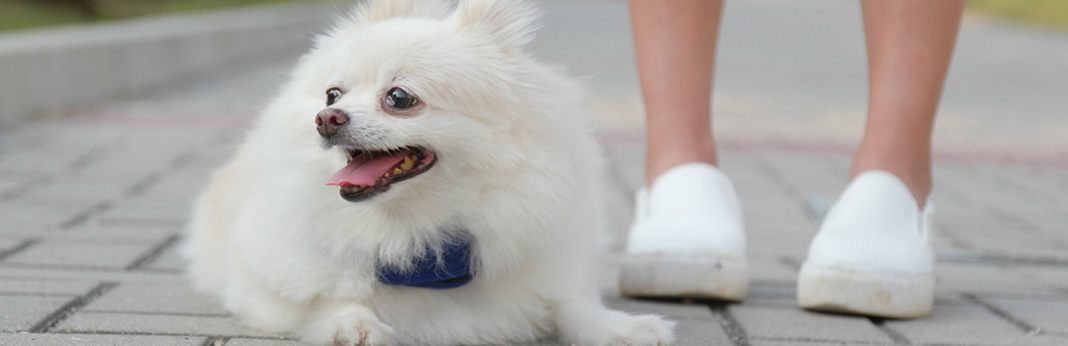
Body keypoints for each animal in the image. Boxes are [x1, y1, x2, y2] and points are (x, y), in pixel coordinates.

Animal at [179, 0, 670, 343]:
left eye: (399, 98)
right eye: (332, 93)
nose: (327, 118)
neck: (413, 236)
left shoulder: (541, 274)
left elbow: (568, 304)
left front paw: (622, 327)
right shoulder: (263, 287)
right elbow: (326, 300)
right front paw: (352, 325)